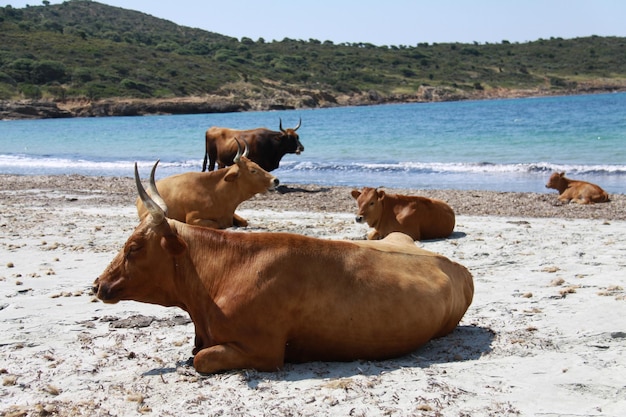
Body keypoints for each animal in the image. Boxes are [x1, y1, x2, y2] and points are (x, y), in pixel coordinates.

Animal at [138, 138, 276, 228]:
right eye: (253, 170)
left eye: (257, 165)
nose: (276, 180)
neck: (214, 193)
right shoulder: (193, 218)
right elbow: (216, 225)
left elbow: (244, 222)